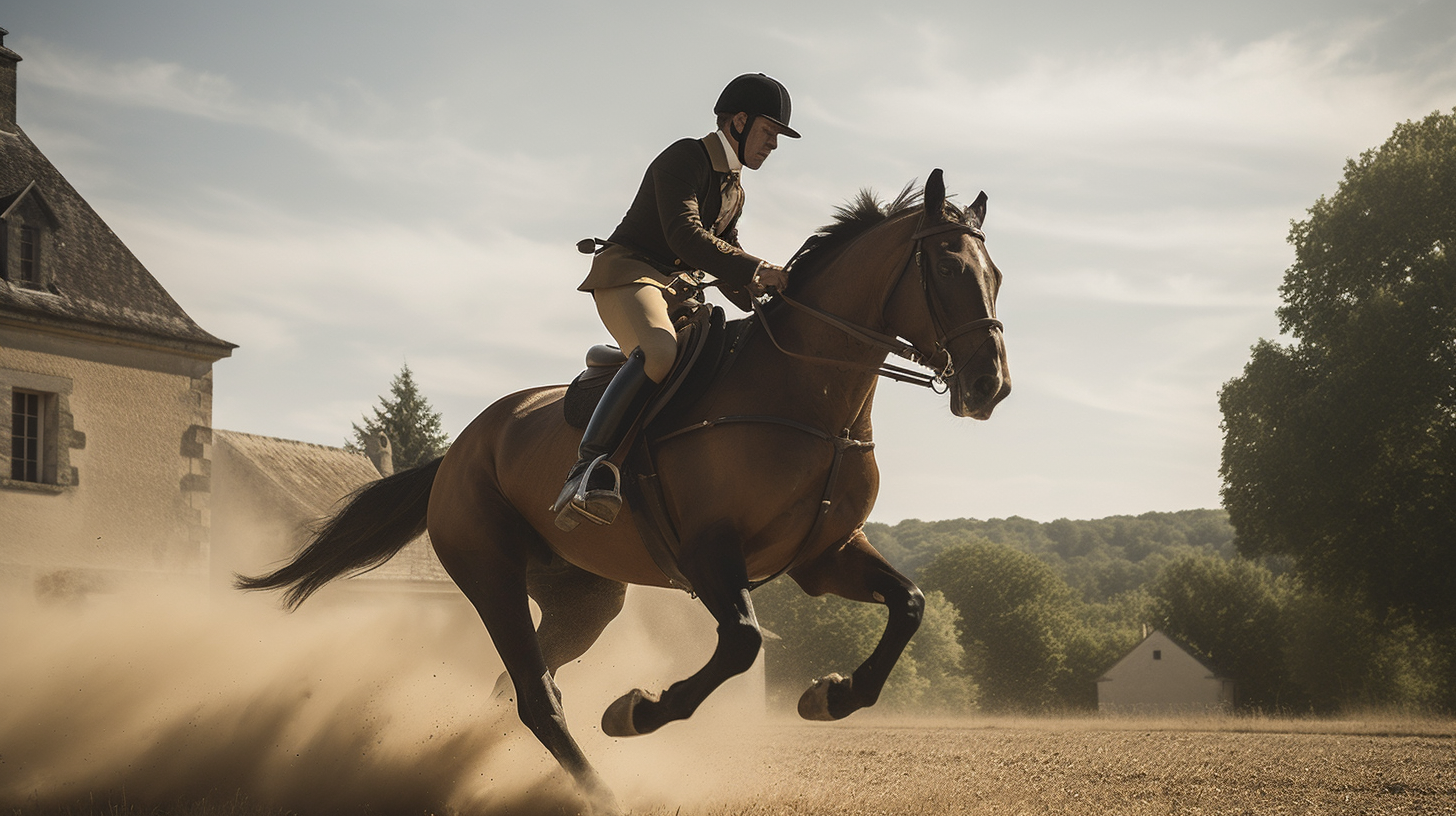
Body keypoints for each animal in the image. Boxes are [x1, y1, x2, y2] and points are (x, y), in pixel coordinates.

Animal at [238, 169, 1013, 810]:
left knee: (518, 690)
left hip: (583, 598)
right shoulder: (709, 551)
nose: (989, 387)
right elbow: (740, 644)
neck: (811, 396)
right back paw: (601, 791)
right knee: (535, 697)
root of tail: (460, 448)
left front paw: (833, 696)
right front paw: (637, 711)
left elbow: (909, 605)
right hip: (489, 572)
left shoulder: (823, 555)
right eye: (949, 267)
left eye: (998, 274)